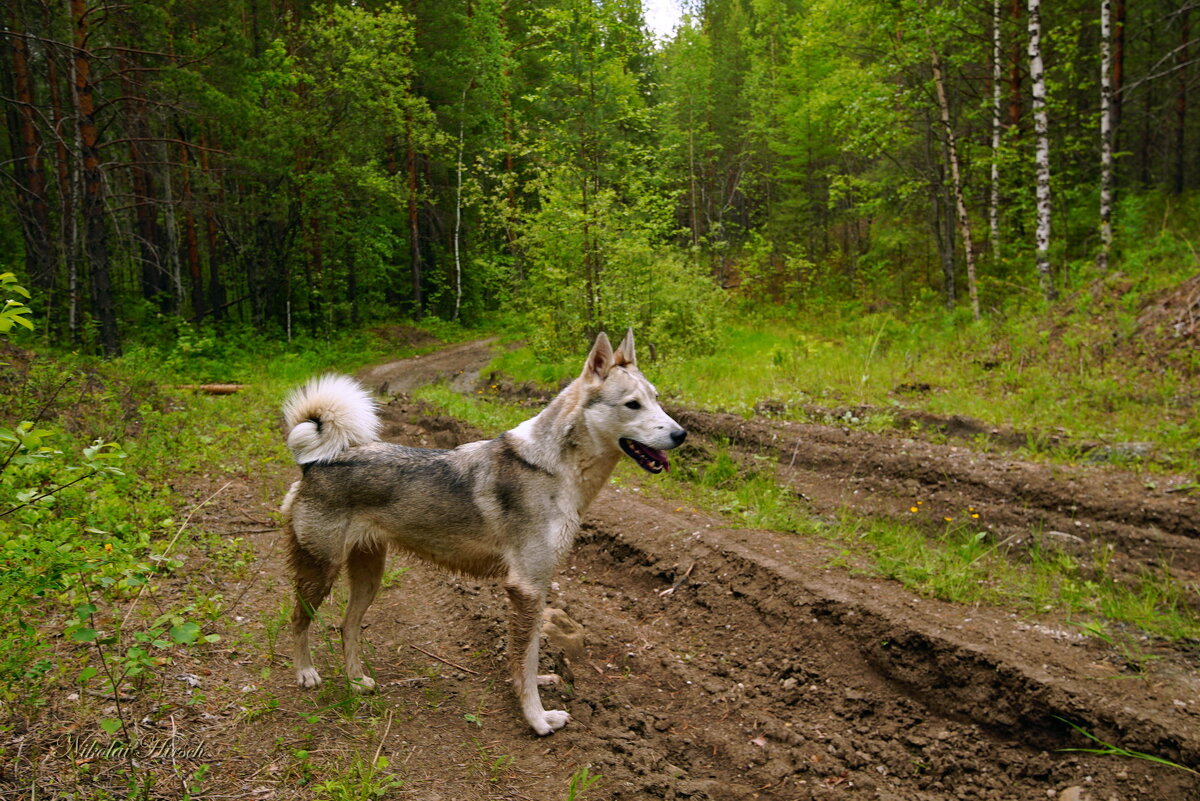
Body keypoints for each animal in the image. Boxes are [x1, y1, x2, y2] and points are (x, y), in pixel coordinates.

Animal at [278, 328, 686, 733]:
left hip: (368, 575)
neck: (555, 468)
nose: (682, 435)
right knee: (298, 620)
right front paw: (537, 719)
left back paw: (356, 680)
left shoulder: (538, 587)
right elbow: (524, 660)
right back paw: (306, 674)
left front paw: (539, 686)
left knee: (346, 626)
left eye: (656, 399)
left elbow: (529, 653)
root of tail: (314, 463)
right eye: (632, 404)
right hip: (320, 572)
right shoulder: (525, 587)